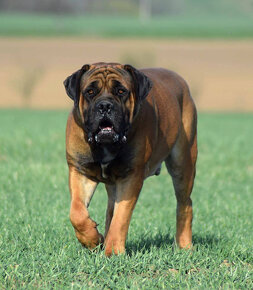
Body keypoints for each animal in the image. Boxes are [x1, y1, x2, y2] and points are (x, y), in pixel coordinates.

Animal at [63, 61, 198, 256]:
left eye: (121, 91)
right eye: (90, 91)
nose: (105, 106)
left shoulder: (131, 177)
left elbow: (121, 217)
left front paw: (113, 251)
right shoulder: (80, 172)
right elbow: (77, 212)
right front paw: (92, 240)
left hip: (183, 163)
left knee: (185, 204)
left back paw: (184, 245)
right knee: (109, 211)